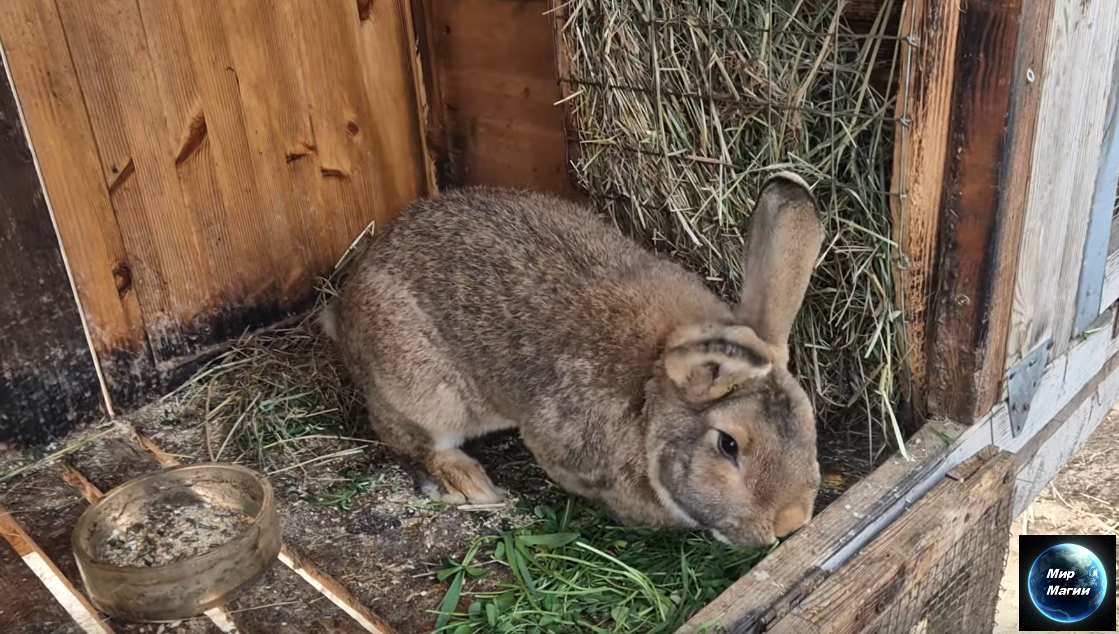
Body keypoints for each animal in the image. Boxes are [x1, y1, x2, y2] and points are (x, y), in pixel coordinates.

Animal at [320, 171, 828, 547]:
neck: (648, 402)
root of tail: (343, 310)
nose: (790, 523)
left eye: (810, 423)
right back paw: (472, 483)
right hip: (423, 394)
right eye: (728, 445)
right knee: (414, 441)